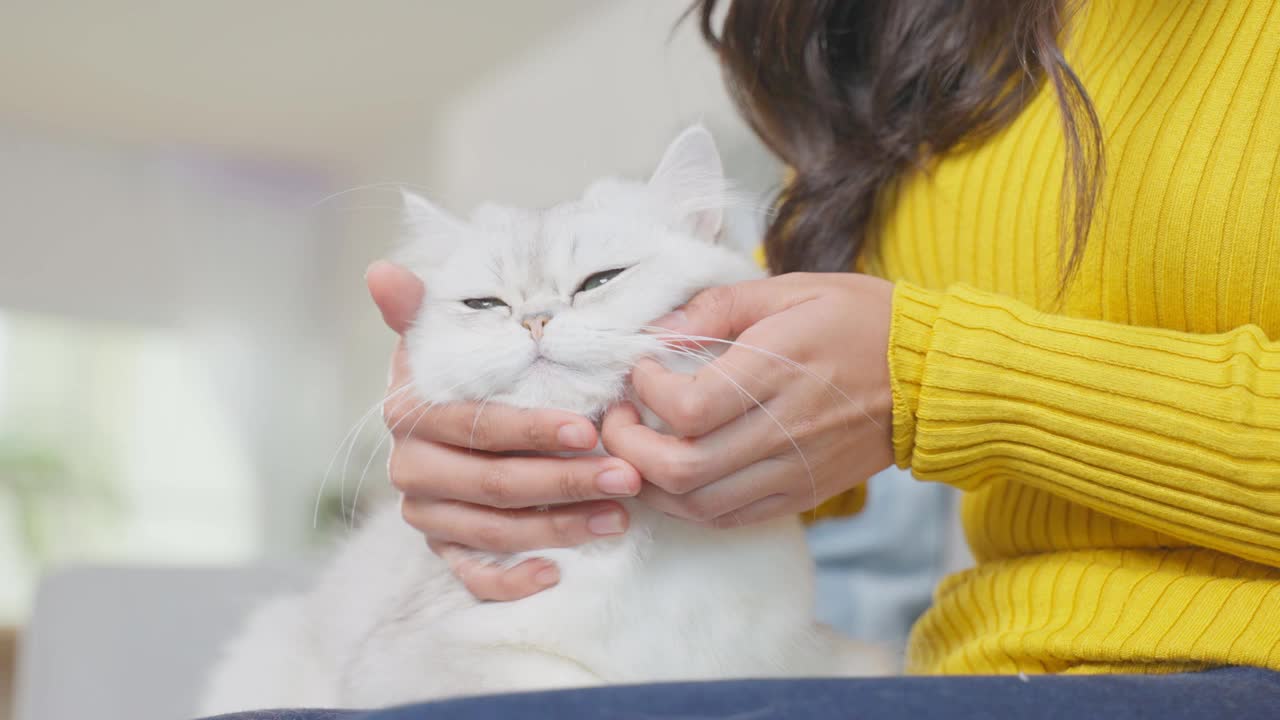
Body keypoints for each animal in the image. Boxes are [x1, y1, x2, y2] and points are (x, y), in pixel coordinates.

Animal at [199, 126, 885, 712]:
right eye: (485, 304)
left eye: (600, 281)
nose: (534, 321)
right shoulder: (415, 660)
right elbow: (573, 682)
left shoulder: (824, 656)